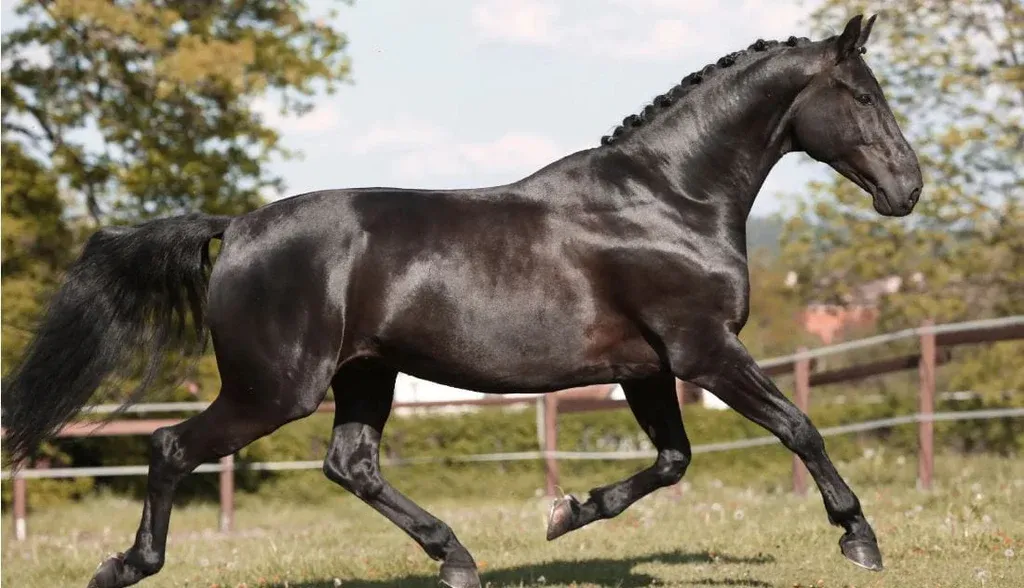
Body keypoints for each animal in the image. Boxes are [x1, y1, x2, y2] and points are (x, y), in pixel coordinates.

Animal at [3, 14, 922, 588]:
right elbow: (798, 426)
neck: (669, 199)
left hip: (365, 376)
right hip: (276, 389)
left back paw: (456, 557)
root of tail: (238, 226)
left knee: (351, 465)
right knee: (169, 448)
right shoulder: (705, 350)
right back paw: (124, 566)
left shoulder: (648, 367)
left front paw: (567, 513)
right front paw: (860, 538)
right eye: (864, 96)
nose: (907, 189)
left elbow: (672, 461)